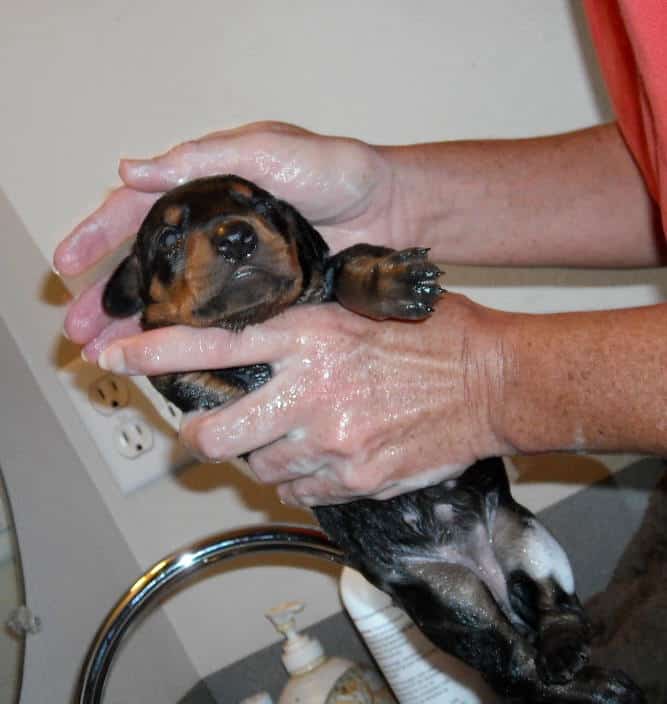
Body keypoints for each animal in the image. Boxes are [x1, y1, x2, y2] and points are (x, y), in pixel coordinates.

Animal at [103, 176, 640, 704]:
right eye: (168, 237)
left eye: (262, 205)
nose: (236, 236)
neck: (262, 321)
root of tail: (482, 568)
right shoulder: (175, 362)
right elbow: (201, 381)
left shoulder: (330, 274)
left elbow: (350, 265)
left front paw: (394, 282)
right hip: (446, 599)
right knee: (510, 666)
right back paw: (592, 685)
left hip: (528, 540)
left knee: (554, 611)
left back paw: (573, 657)